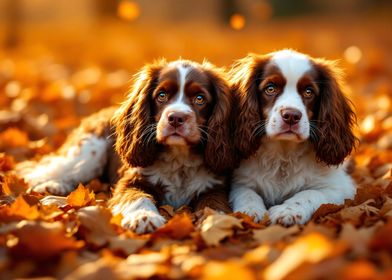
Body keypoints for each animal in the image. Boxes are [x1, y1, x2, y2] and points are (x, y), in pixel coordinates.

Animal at [17, 59, 233, 234]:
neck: (179, 158)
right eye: (162, 95)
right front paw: (144, 218)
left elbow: (214, 204)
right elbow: (137, 196)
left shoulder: (214, 186)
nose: (176, 118)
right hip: (89, 151)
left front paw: (217, 221)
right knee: (53, 168)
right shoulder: (131, 180)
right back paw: (51, 185)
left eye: (200, 99)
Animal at [228, 49, 356, 225]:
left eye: (309, 91)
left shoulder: (339, 188)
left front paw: (288, 211)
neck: (284, 154)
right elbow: (246, 193)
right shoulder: (240, 180)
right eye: (270, 88)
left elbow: (309, 194)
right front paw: (250, 210)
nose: (291, 116)